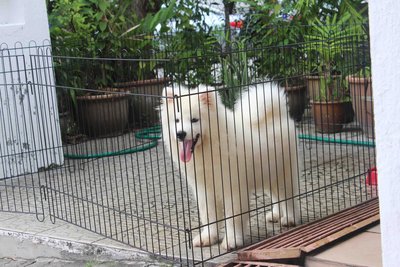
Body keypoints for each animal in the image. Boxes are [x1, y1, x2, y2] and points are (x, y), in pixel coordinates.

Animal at [159, 84, 300, 251]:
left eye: (194, 120)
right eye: (176, 120)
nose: (180, 133)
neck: (210, 147)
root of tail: (277, 113)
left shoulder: (232, 189)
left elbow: (232, 218)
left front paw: (232, 241)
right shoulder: (204, 190)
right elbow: (209, 215)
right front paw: (208, 237)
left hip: (284, 173)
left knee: (288, 198)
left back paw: (289, 218)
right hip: (268, 173)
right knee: (276, 197)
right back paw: (275, 215)